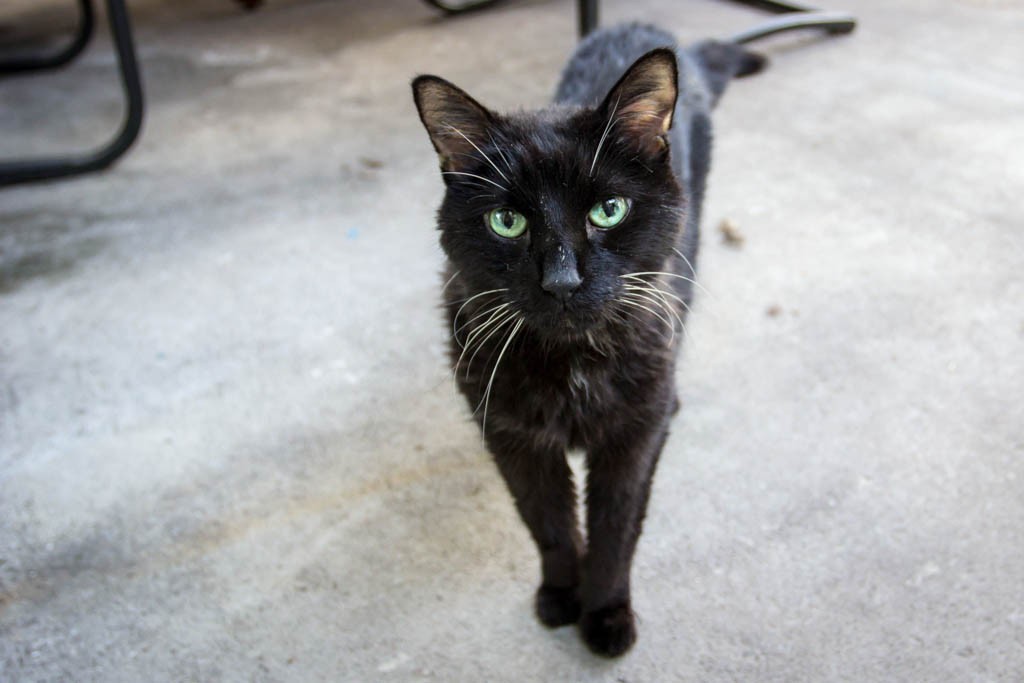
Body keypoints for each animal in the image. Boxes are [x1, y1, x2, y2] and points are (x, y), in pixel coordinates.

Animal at [413, 25, 761, 655]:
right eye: (507, 221)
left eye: (609, 209)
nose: (562, 280)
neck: (572, 362)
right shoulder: (512, 437)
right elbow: (546, 522)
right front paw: (559, 596)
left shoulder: (633, 437)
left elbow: (615, 527)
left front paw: (604, 614)